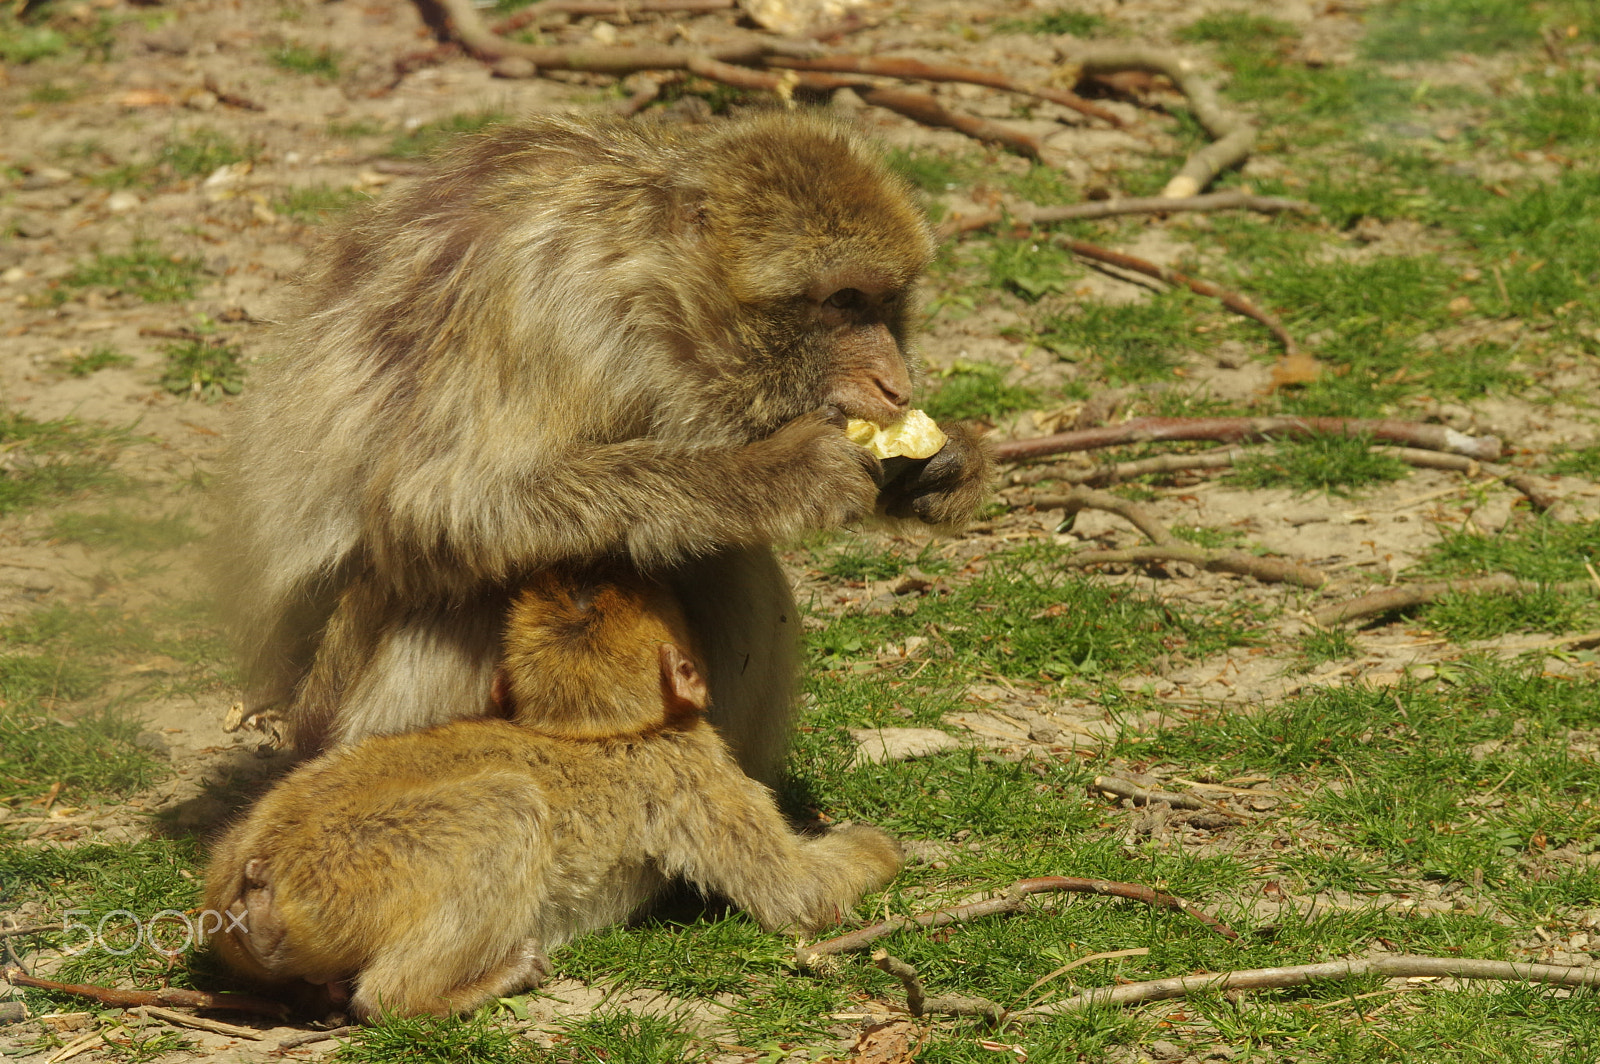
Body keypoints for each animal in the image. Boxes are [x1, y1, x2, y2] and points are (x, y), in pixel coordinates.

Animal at [204, 563, 902, 1024]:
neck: (595, 730)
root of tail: (250, 892)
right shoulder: (695, 769)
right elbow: (795, 896)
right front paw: (884, 850)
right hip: (354, 875)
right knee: (509, 810)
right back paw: (440, 990)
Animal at [225, 108, 992, 777]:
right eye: (842, 303)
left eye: (886, 303)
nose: (895, 383)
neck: (652, 302)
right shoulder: (549, 304)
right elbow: (440, 502)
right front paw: (783, 474)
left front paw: (944, 463)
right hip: (329, 705)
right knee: (461, 583)